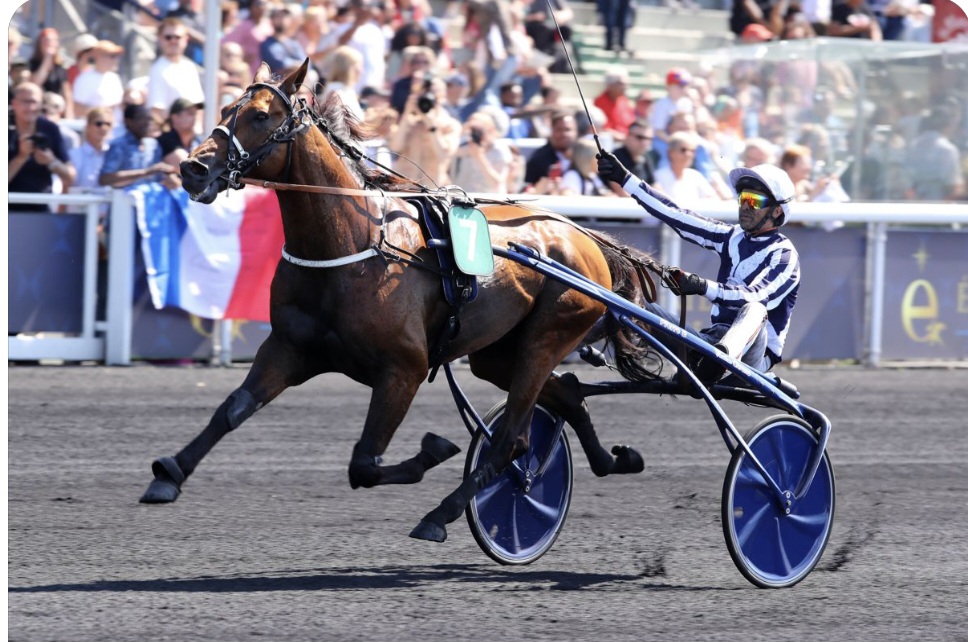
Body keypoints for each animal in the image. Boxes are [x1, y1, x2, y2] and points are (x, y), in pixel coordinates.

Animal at [140, 59, 663, 544]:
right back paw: (613, 460)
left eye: (261, 115)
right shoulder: (288, 347)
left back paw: (440, 515)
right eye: (225, 109)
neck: (350, 244)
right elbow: (232, 409)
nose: (192, 169)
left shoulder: (403, 368)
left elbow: (364, 465)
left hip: (547, 336)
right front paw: (169, 473)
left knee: (508, 440)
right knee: (564, 397)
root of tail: (583, 235)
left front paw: (433, 450)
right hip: (498, 353)